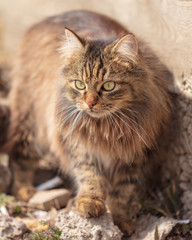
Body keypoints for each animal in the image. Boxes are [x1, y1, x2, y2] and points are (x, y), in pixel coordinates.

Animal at [3, 9, 171, 236]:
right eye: (80, 84)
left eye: (108, 86)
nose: (90, 103)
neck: (106, 127)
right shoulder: (80, 146)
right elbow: (89, 177)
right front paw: (90, 204)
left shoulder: (132, 153)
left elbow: (122, 193)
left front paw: (122, 221)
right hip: (33, 122)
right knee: (19, 156)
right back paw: (24, 190)